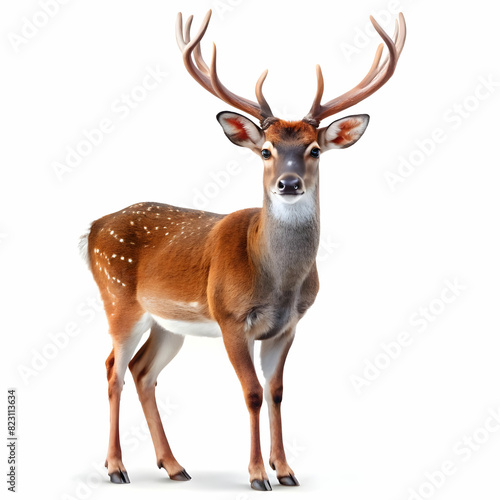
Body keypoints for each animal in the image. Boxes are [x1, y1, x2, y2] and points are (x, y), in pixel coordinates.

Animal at [79, 9, 406, 490]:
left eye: (315, 150)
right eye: (266, 150)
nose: (289, 183)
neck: (278, 282)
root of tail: (93, 228)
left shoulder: (289, 325)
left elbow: (276, 391)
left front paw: (285, 470)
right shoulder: (231, 316)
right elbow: (251, 392)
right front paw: (256, 474)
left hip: (167, 323)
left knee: (142, 372)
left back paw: (174, 466)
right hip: (118, 297)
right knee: (112, 369)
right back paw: (117, 467)